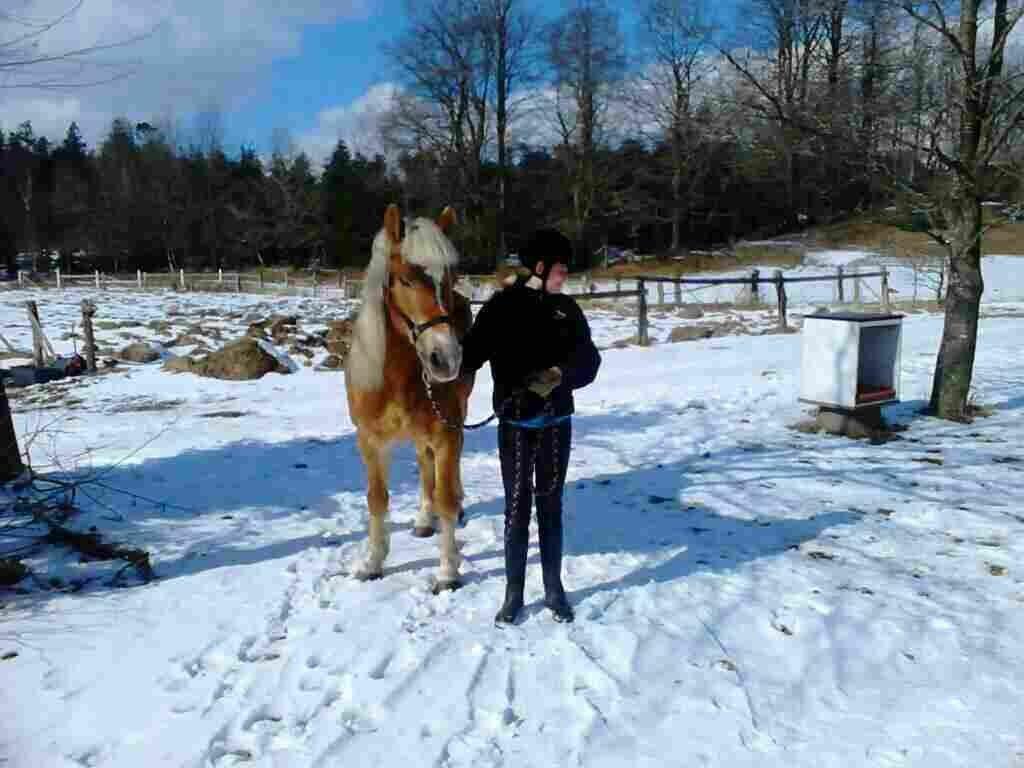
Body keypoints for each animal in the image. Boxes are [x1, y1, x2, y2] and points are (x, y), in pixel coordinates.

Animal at [344, 203, 475, 592]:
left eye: (450, 277)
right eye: (404, 279)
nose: (445, 358)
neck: (396, 379)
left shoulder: (446, 434)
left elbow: (446, 497)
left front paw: (447, 572)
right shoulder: (370, 441)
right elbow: (377, 498)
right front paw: (372, 562)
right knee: (423, 464)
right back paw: (423, 519)